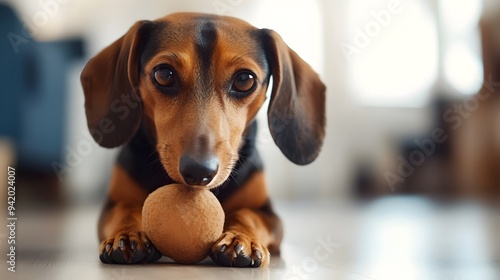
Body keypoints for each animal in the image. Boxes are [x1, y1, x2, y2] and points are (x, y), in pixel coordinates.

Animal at [81, 13, 324, 266]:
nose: (199, 171)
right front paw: (127, 235)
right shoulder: (113, 204)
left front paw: (240, 239)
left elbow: (247, 214)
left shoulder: (268, 214)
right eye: (164, 74)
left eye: (244, 80)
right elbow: (125, 209)